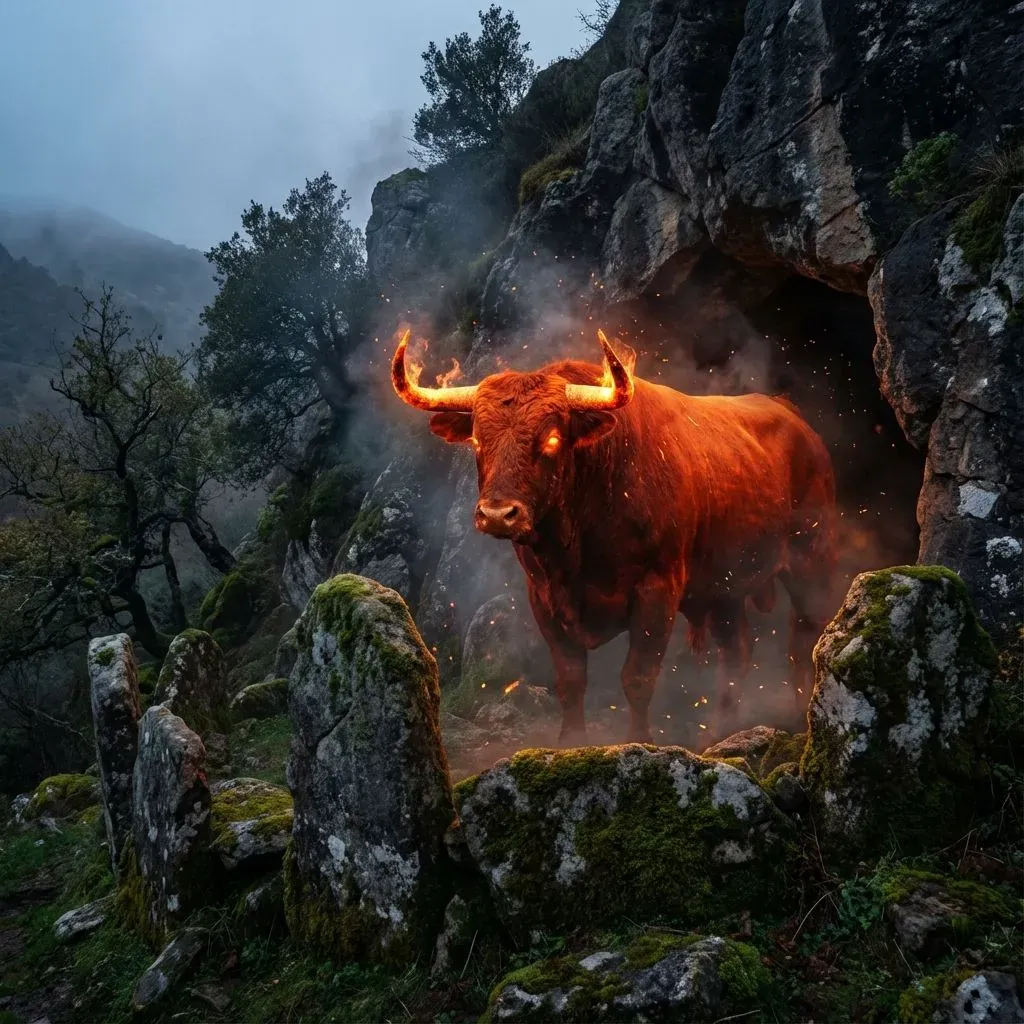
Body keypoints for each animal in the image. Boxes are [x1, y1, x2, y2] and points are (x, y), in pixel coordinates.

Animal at [392, 329, 838, 745]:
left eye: (552, 439)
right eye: (477, 440)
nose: (498, 515)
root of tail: (791, 415)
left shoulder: (657, 591)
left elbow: (637, 677)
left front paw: (638, 740)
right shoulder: (542, 598)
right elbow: (571, 679)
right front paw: (572, 742)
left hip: (810, 562)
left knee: (803, 639)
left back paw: (800, 716)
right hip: (724, 588)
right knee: (737, 652)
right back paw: (720, 732)